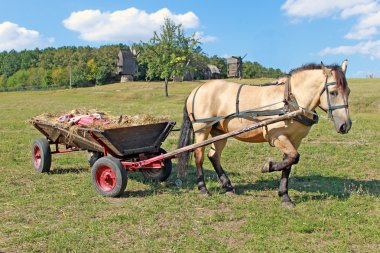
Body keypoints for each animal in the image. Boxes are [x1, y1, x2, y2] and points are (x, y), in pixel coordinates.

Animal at [177, 60, 352, 208]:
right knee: (199, 155)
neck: (291, 101)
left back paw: (228, 186)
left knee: (213, 156)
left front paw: (284, 196)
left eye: (348, 91)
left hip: (219, 132)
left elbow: (289, 163)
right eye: (333, 92)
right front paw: (268, 167)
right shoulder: (277, 137)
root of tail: (196, 90)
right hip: (202, 130)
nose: (346, 125)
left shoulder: (294, 140)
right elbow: (293, 157)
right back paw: (203, 189)